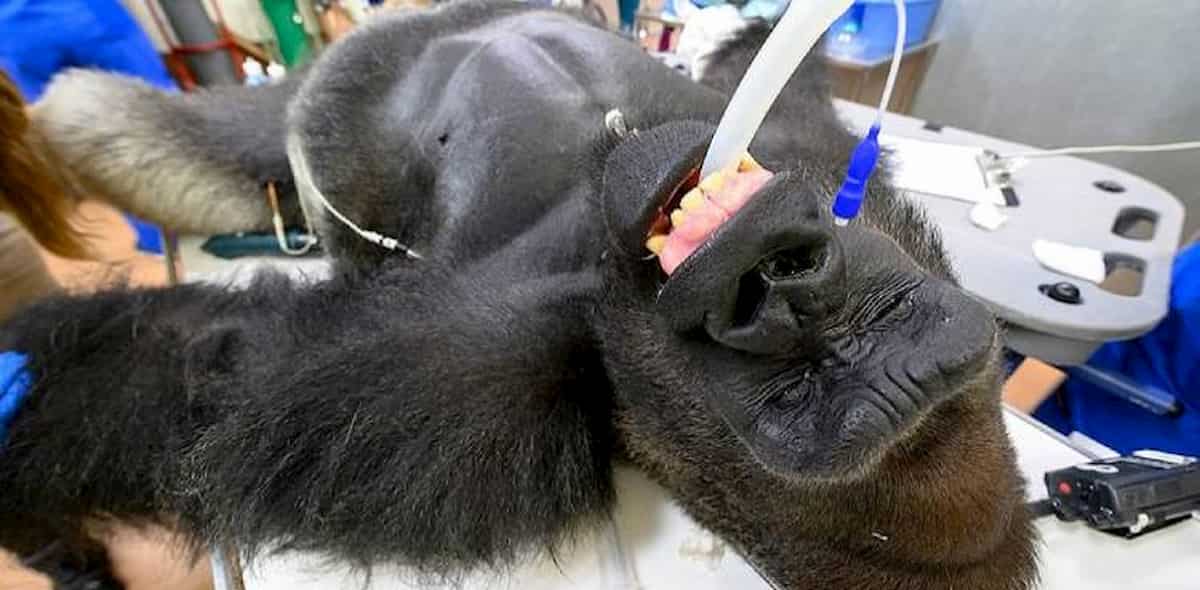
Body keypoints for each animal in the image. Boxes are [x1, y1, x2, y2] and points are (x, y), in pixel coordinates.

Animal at [1, 2, 1037, 588]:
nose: (775, 275)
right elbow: (771, 78)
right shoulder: (810, 147)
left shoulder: (471, 402)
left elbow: (205, 379)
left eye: (792, 390)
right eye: (871, 320)